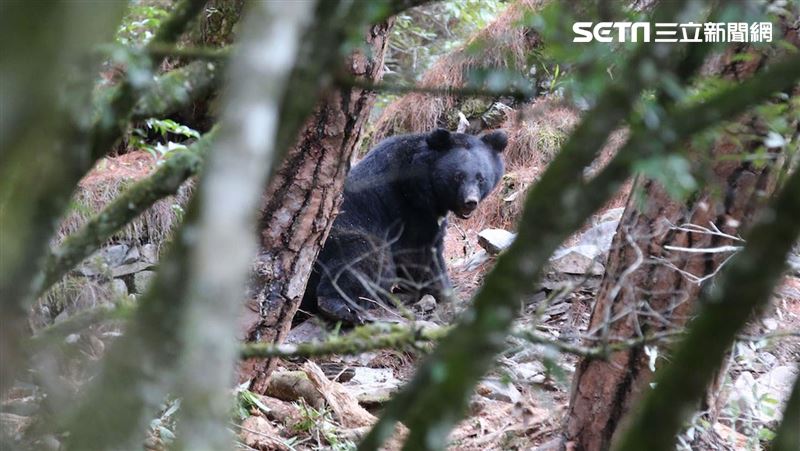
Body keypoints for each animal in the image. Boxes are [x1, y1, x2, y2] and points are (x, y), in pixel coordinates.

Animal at [301, 128, 507, 324]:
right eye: (458, 176)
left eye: (481, 178)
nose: (470, 202)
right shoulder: (408, 208)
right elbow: (419, 253)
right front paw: (446, 291)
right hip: (341, 238)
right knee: (364, 259)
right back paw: (342, 308)